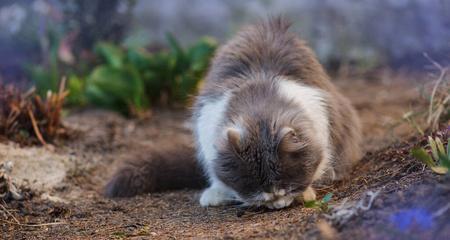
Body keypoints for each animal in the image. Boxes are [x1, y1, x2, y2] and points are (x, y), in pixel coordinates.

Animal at [104, 16, 362, 209]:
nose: (275, 200)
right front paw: (219, 193)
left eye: (284, 180)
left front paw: (304, 192)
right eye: (254, 182)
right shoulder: (207, 123)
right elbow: (217, 174)